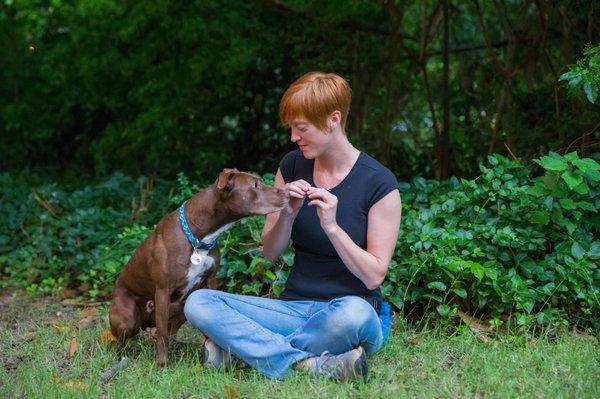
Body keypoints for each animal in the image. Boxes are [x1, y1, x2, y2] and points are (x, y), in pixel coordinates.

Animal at [109, 169, 290, 366]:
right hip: (127, 317)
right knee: (126, 340)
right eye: (255, 185)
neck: (199, 238)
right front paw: (162, 363)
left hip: (182, 305)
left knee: (169, 330)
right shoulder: (163, 290)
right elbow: (162, 333)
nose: (286, 192)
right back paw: (121, 359)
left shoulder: (210, 280)